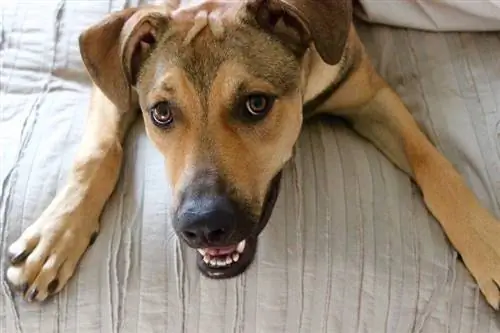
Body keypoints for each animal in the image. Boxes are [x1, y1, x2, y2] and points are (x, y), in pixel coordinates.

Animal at [5, 0, 500, 308]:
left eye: (256, 104)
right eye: (161, 113)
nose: (204, 227)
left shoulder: (370, 93)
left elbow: (434, 162)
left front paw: (487, 246)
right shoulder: (114, 83)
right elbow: (98, 153)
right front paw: (55, 238)